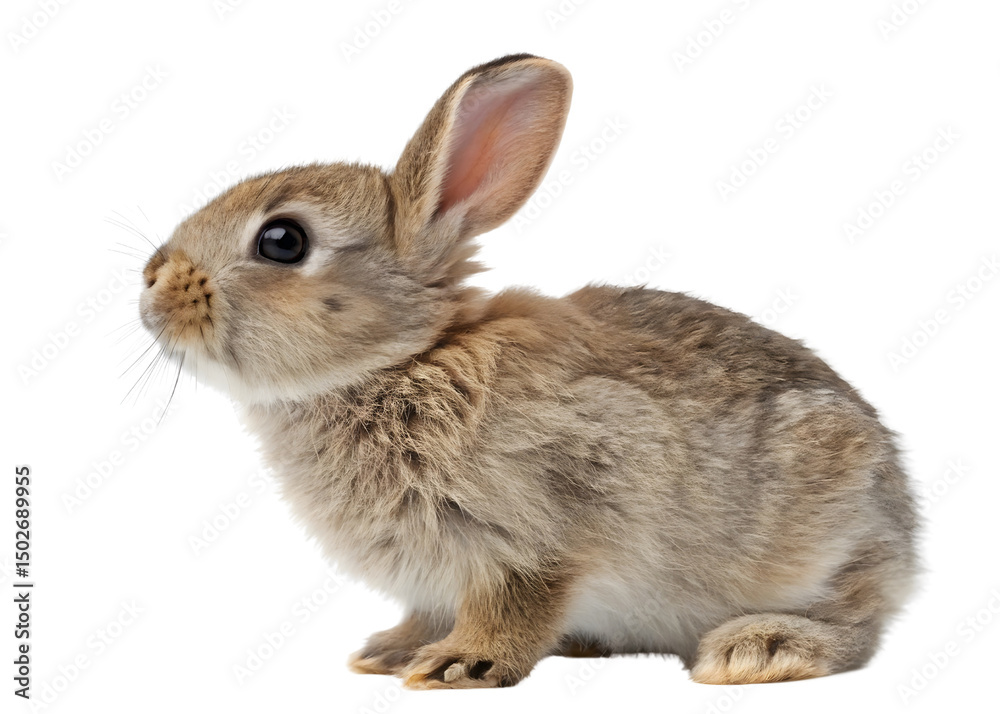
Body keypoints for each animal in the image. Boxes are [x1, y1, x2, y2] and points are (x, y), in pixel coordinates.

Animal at [139, 53, 919, 689]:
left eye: (283, 241)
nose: (151, 282)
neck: (404, 360)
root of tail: (904, 527)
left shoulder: (544, 528)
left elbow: (517, 601)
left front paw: (460, 664)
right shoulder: (436, 577)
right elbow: (428, 612)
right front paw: (390, 652)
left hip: (825, 542)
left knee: (859, 625)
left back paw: (761, 648)